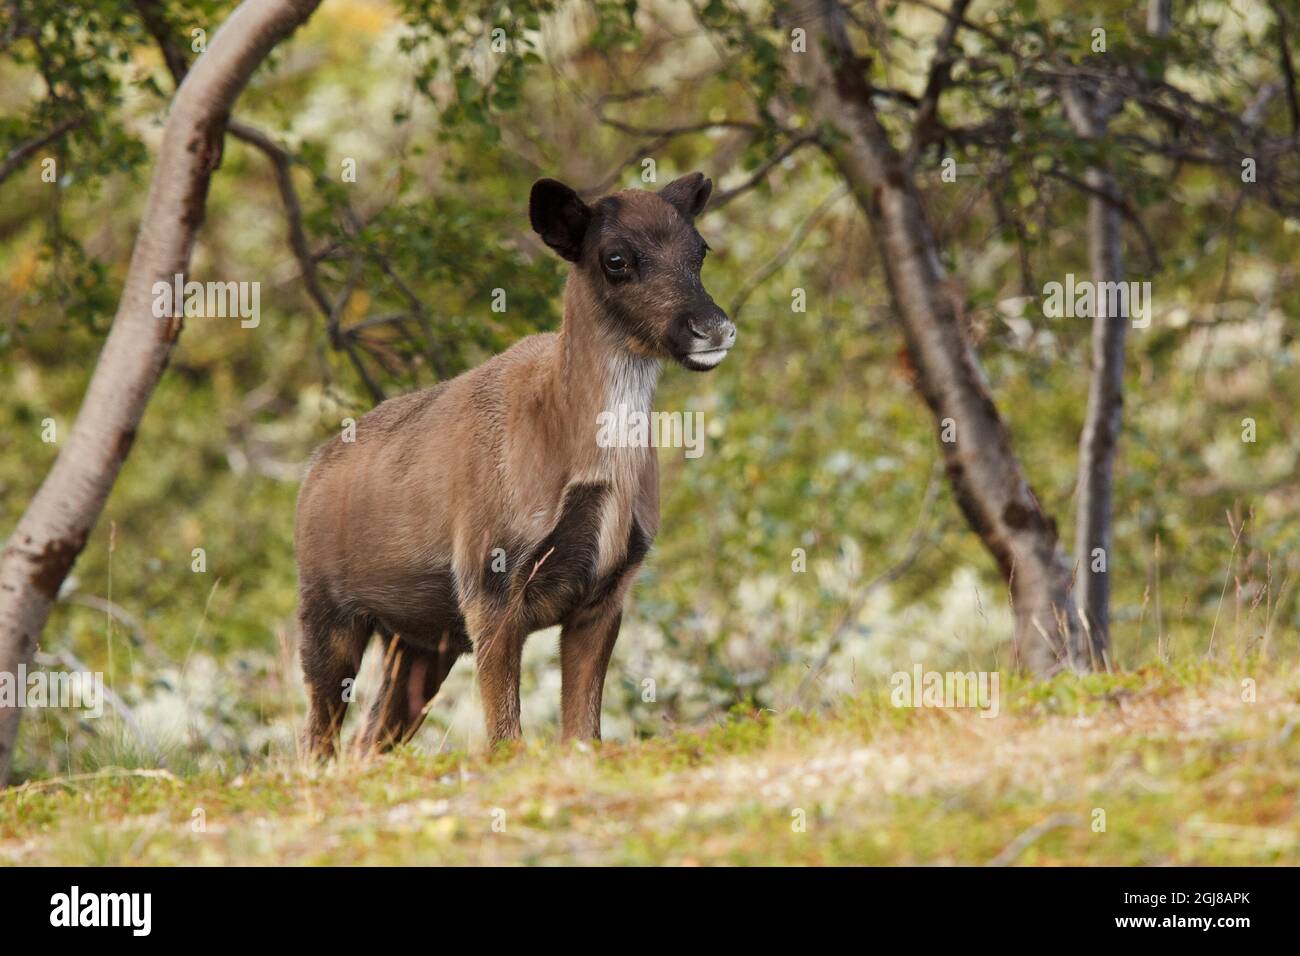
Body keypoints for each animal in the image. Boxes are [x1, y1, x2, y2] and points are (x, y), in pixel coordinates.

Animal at [297, 171, 738, 754]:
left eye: (700, 248)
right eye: (616, 258)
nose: (713, 328)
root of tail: (310, 473)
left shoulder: (609, 590)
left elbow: (582, 733)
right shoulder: (489, 576)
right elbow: (506, 738)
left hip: (422, 638)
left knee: (369, 740)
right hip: (325, 606)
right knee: (316, 739)